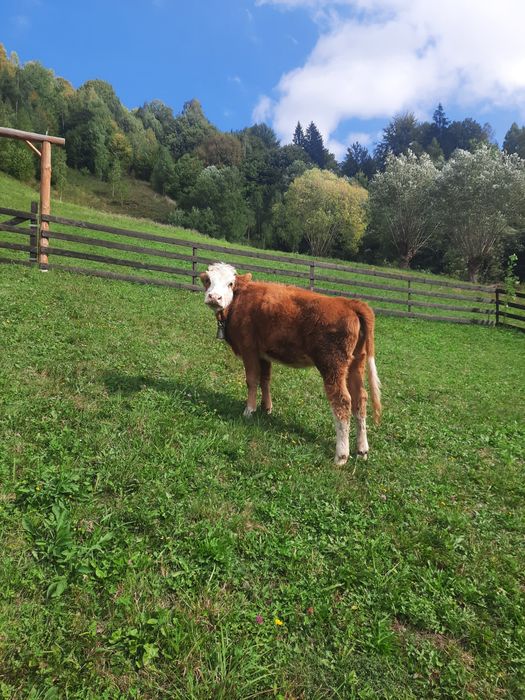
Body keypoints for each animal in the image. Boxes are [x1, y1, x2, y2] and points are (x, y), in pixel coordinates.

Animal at [200, 262, 381, 465]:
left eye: (230, 283)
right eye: (208, 281)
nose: (214, 297)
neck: (239, 302)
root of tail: (349, 303)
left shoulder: (249, 350)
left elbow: (252, 380)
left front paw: (249, 410)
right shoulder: (264, 354)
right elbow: (265, 380)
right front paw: (267, 408)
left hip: (332, 365)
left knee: (342, 402)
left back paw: (341, 455)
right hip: (356, 364)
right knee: (360, 399)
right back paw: (362, 450)